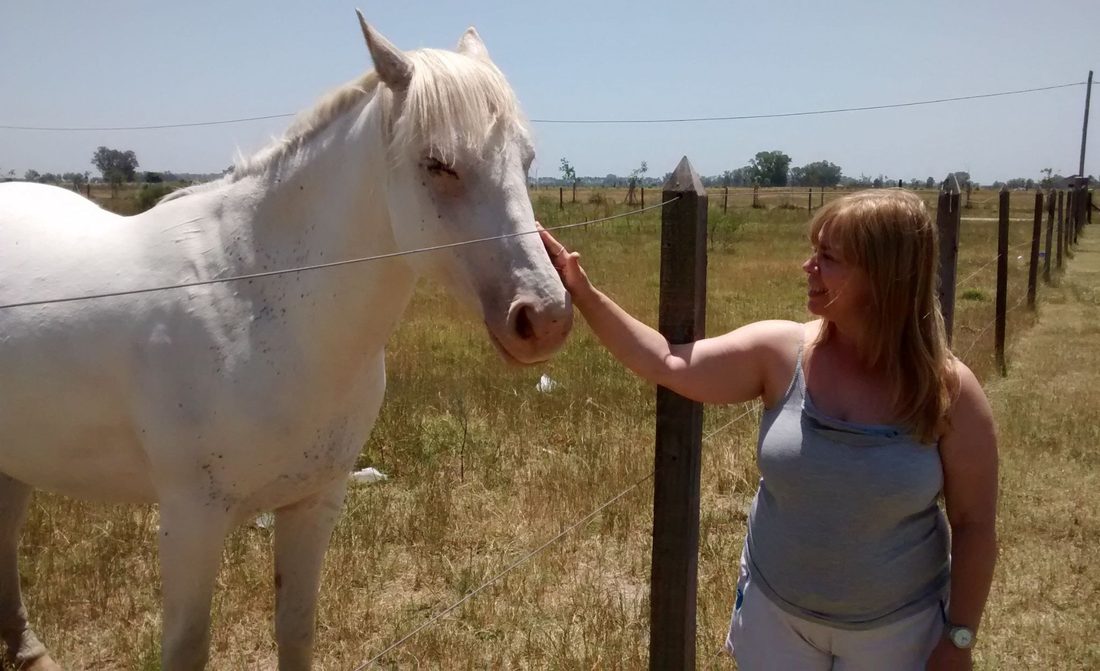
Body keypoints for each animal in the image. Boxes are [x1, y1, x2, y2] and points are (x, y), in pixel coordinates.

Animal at [0, 13, 572, 670]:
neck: (254, 302)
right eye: (438, 163)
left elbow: (296, 628)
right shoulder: (190, 522)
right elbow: (187, 646)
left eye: (526, 161)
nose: (545, 317)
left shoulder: (313, 503)